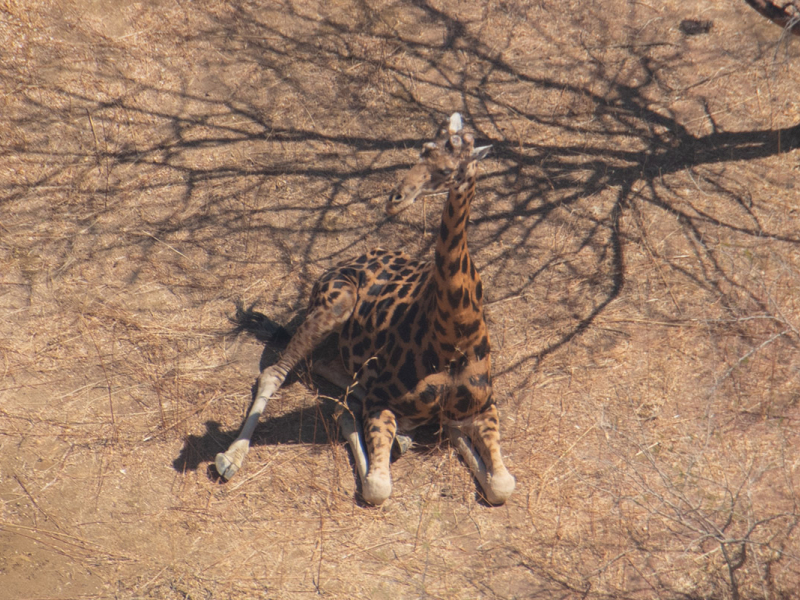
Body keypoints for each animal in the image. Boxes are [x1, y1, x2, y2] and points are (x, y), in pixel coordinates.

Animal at [217, 113, 520, 506]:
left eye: (446, 170)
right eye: (421, 152)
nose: (395, 200)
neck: (455, 333)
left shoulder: (484, 407)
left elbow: (501, 485)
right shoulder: (381, 402)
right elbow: (378, 487)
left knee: (322, 366)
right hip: (338, 303)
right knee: (276, 374)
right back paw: (230, 458)